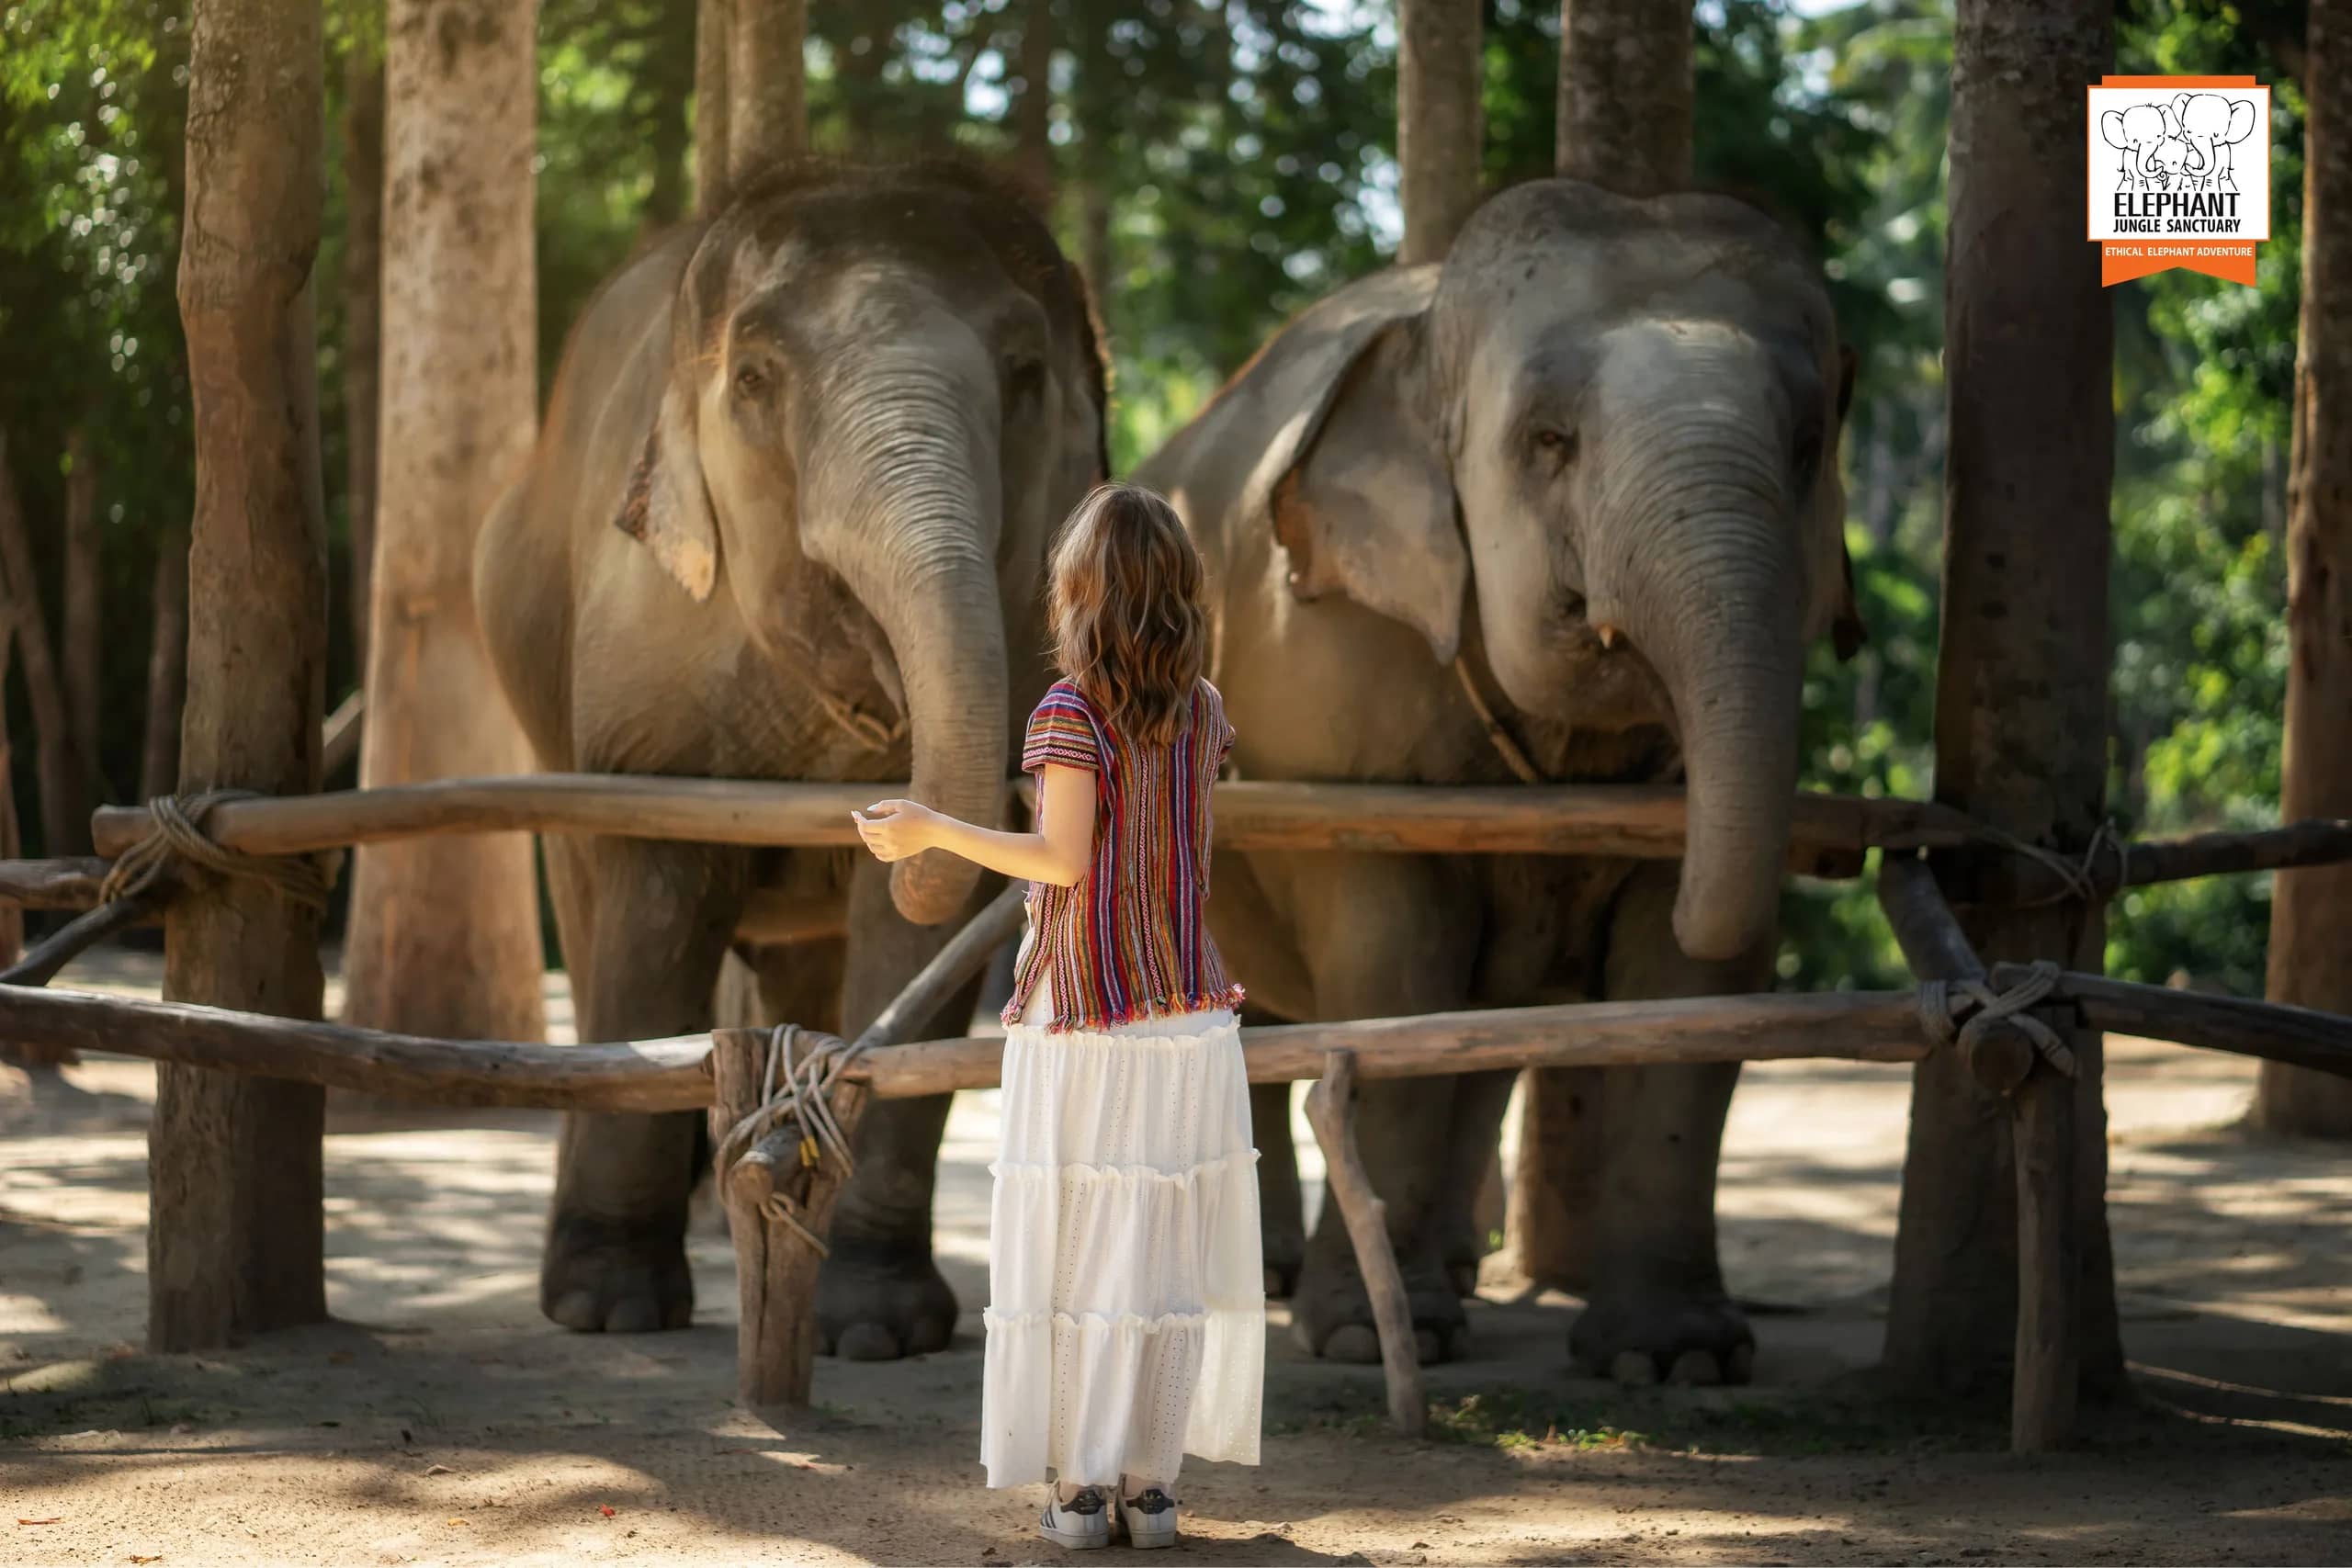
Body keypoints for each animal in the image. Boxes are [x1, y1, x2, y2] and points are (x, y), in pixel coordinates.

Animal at [474, 158, 1107, 1346]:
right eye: (756, 377)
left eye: (1023, 372)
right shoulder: (643, 679)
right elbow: (654, 906)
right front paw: (608, 1308)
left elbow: (918, 928)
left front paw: (879, 1326)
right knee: (590, 911)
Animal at [1135, 178, 1860, 1381]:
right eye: (1548, 440)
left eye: (1809, 444)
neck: (1426, 341)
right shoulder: (1332, 683)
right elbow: (1395, 971)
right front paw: (1359, 1340)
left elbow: (1691, 989)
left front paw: (1672, 1359)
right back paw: (1283, 1285)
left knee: (1474, 1041)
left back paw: (1441, 1279)